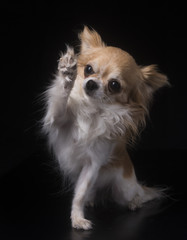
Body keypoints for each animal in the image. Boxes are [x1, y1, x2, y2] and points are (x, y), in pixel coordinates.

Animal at [42, 26, 168, 231]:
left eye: (114, 85)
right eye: (88, 69)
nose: (91, 83)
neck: (92, 110)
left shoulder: (92, 165)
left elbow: (79, 195)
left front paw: (77, 218)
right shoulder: (56, 118)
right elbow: (61, 97)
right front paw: (67, 75)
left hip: (124, 189)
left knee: (139, 195)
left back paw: (134, 202)